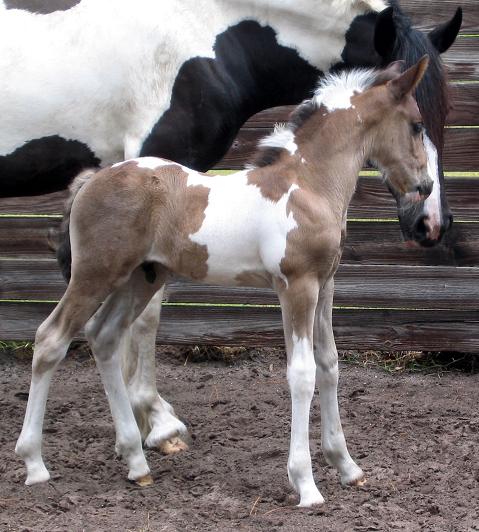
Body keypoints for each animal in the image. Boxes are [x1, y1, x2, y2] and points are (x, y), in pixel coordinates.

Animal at [0, 1, 464, 454]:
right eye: (418, 123)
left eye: (446, 112)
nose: (429, 212)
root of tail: (90, 182)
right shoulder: (295, 283)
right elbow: (298, 371)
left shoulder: (324, 281)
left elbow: (328, 362)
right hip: (98, 273)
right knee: (52, 338)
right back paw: (37, 459)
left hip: (138, 273)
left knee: (102, 336)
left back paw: (132, 454)